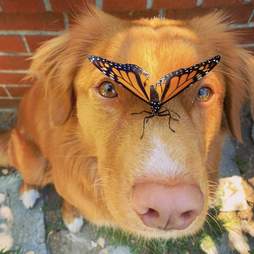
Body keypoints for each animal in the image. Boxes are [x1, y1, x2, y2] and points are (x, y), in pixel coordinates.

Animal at [1, 6, 254, 239]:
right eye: (108, 89)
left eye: (203, 93)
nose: (169, 208)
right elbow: (68, 199)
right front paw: (71, 216)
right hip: (34, 163)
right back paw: (28, 192)